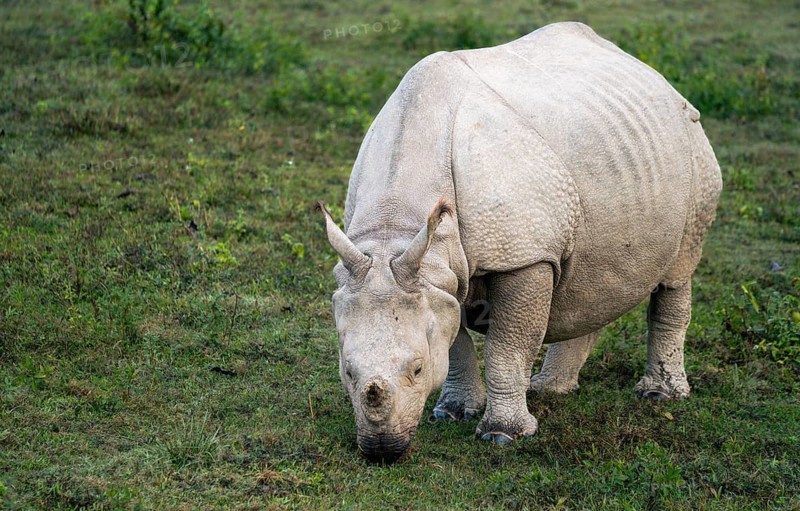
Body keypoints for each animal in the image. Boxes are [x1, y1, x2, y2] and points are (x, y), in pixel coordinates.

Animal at [318, 21, 722, 463]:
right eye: (347, 371)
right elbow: (455, 341)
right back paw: (551, 389)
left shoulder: (523, 254)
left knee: (678, 269)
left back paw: (660, 395)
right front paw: (453, 412)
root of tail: (652, 73)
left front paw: (503, 435)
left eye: (418, 369)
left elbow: (507, 346)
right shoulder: (437, 274)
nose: (382, 450)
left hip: (694, 152)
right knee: (590, 276)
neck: (395, 230)